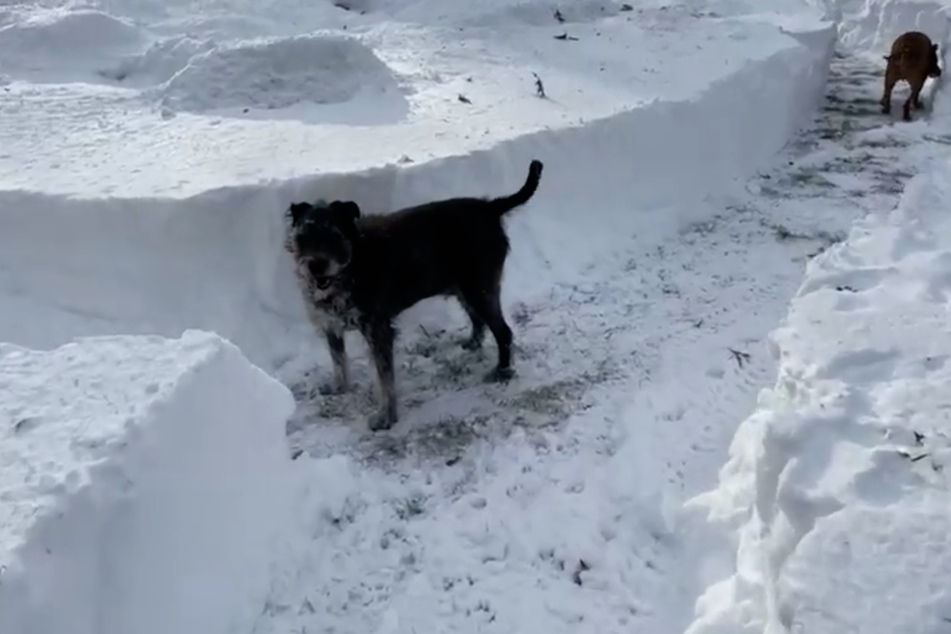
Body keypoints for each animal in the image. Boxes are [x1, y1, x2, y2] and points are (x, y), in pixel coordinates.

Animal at [284, 160, 544, 432]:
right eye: (302, 237)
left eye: (334, 236)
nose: (316, 266)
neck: (355, 261)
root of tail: (490, 207)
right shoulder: (331, 327)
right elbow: (339, 361)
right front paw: (339, 387)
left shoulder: (378, 329)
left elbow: (385, 379)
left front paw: (386, 417)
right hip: (465, 289)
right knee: (478, 319)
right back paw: (473, 343)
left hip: (479, 289)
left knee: (503, 332)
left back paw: (502, 370)